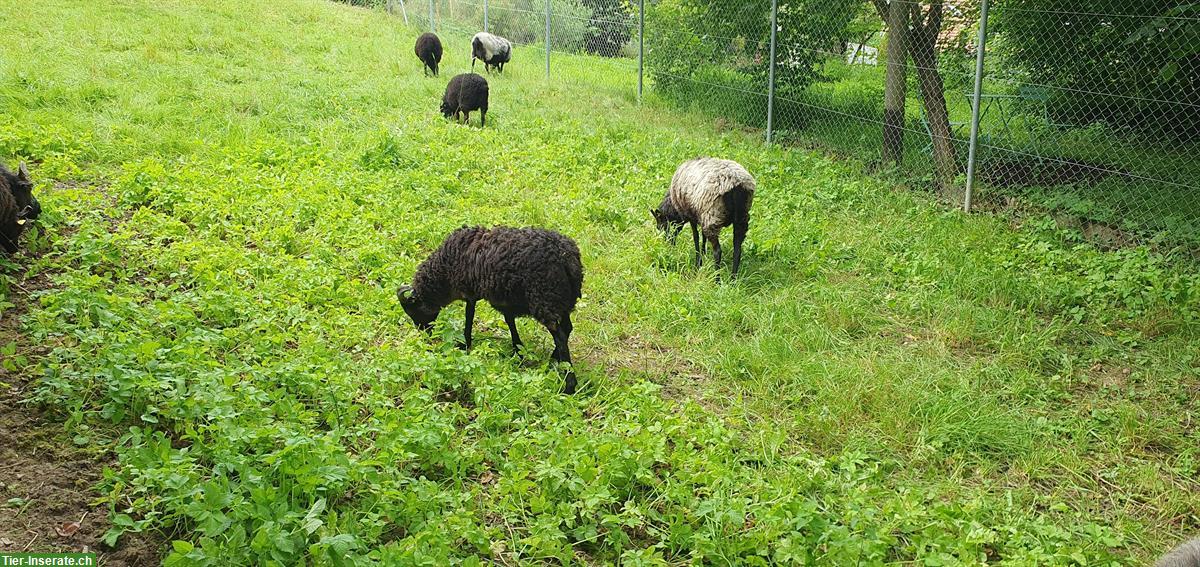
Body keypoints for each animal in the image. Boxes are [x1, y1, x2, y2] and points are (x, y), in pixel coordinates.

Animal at [398, 225, 585, 394]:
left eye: (413, 311)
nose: (425, 334)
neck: (445, 272)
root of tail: (567, 258)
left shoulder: (470, 292)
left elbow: (469, 316)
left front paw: (465, 344)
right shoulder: (505, 299)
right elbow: (509, 321)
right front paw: (518, 350)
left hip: (546, 299)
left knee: (560, 336)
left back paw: (568, 384)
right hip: (563, 300)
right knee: (567, 329)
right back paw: (553, 360)